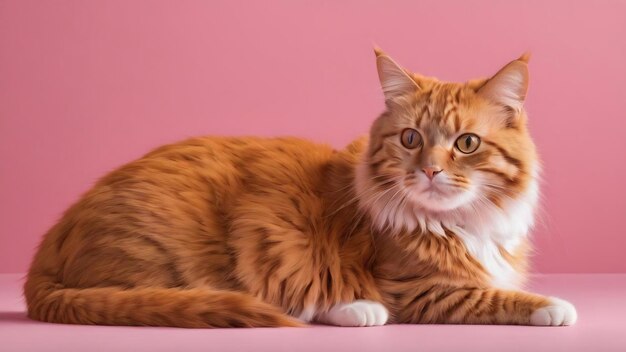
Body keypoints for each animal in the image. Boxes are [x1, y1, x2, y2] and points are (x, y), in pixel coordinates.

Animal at [23, 48, 576, 328]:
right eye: (411, 139)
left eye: (466, 143)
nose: (431, 172)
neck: (459, 223)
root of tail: (46, 251)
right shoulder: (416, 290)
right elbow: (492, 296)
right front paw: (553, 306)